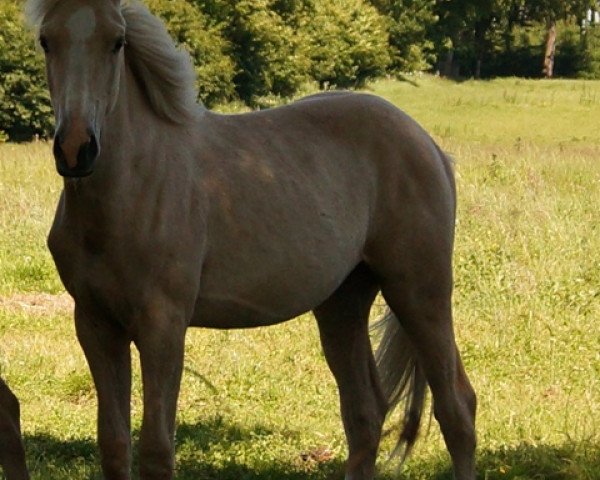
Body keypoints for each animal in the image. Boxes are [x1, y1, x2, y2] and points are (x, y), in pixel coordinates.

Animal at [27, 0, 478, 478]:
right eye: (46, 40)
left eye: (117, 41)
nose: (76, 149)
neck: (133, 189)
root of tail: (428, 144)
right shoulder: (95, 325)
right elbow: (113, 444)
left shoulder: (162, 326)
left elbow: (155, 450)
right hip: (343, 303)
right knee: (365, 414)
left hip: (420, 292)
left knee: (457, 409)